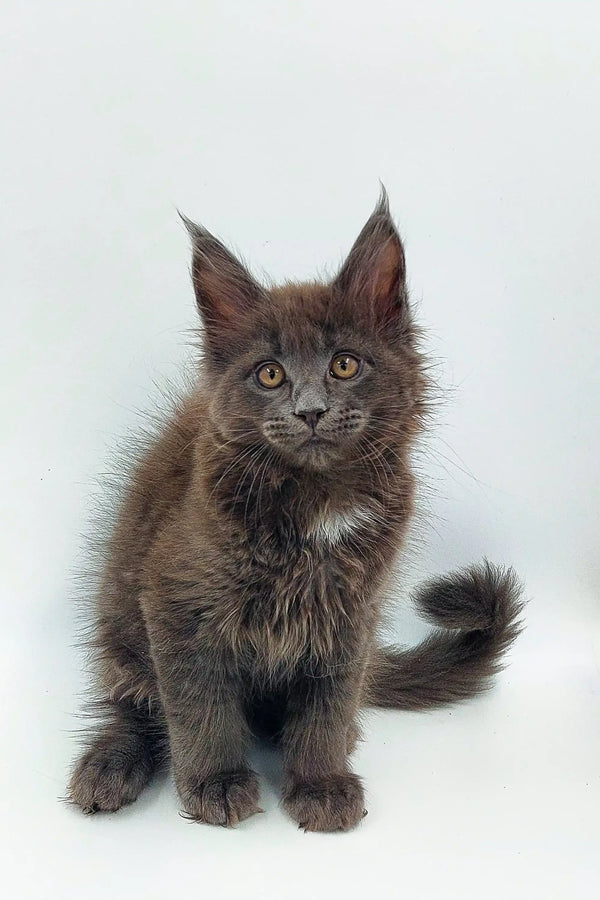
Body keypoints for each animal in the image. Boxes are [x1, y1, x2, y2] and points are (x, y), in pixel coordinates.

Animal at [68, 193, 524, 832]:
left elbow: (326, 709)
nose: (310, 411)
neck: (316, 505)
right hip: (121, 624)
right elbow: (198, 705)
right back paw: (110, 765)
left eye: (344, 365)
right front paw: (215, 782)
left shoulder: (350, 616)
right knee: (132, 702)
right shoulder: (174, 602)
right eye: (270, 374)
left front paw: (319, 782)